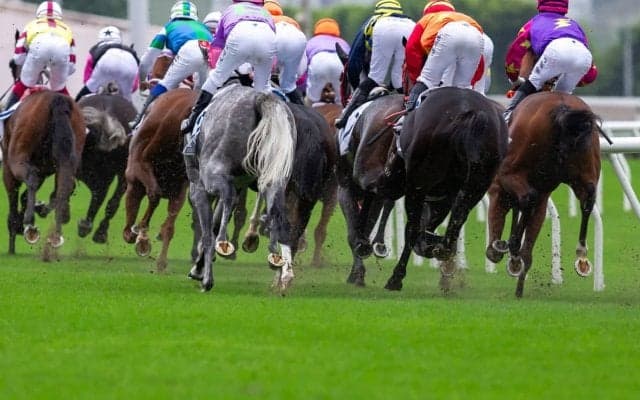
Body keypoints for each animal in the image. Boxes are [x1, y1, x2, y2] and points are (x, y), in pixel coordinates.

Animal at [2, 90, 86, 254]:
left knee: (31, 178)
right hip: (68, 159)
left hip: (17, 157)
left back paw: (30, 224)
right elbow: (28, 196)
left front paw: (15, 233)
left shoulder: (8, 168)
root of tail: (57, 100)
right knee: (65, 187)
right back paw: (56, 231)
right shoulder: (44, 170)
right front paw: (40, 208)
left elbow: (15, 197)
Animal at [187, 84, 297, 292]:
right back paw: (273, 253)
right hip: (276, 179)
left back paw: (224, 244)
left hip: (212, 175)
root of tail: (260, 98)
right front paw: (199, 268)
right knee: (276, 209)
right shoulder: (238, 184)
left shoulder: (199, 188)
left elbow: (208, 232)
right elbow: (215, 223)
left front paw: (204, 276)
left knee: (227, 197)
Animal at [384, 87, 508, 291]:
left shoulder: (421, 188)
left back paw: (397, 276)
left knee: (415, 229)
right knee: (456, 221)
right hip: (476, 185)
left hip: (419, 183)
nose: (386, 173)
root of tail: (473, 114)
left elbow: (414, 228)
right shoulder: (446, 195)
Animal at [485, 92, 606, 298]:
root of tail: (562, 106)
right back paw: (581, 255)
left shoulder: (498, 188)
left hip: (511, 171)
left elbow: (499, 215)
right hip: (585, 167)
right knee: (588, 198)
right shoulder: (542, 196)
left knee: (527, 199)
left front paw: (498, 249)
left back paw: (513, 250)